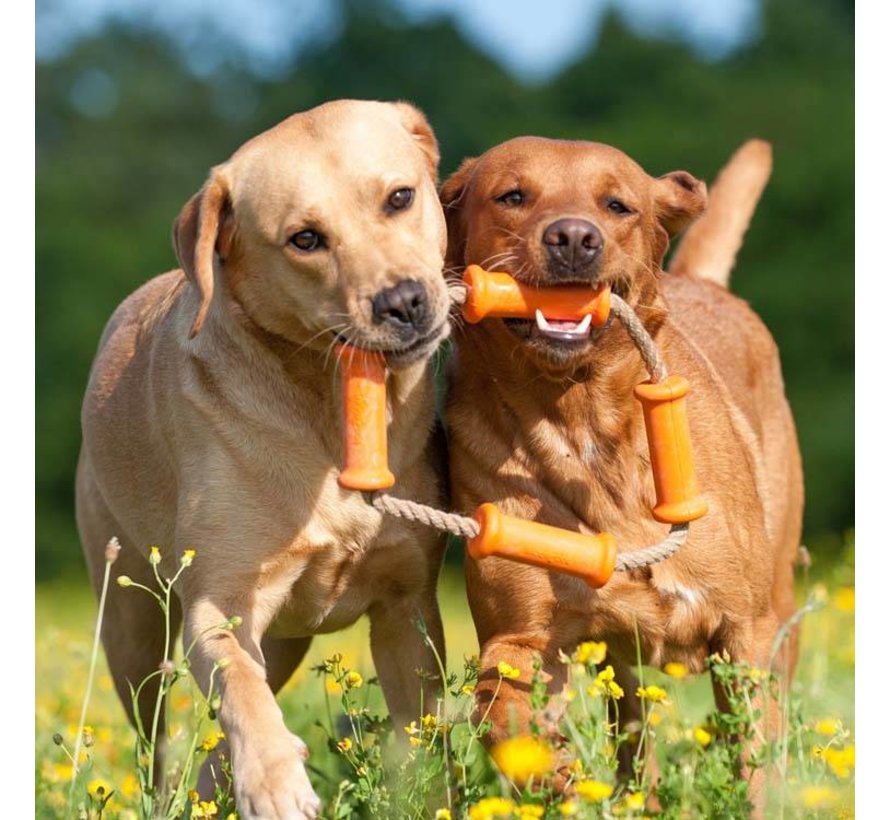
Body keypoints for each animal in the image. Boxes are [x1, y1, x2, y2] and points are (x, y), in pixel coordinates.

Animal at [74, 99, 450, 816]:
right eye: (305, 239)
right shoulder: (218, 601)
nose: (404, 302)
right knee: (160, 735)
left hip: (286, 640)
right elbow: (239, 686)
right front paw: (275, 782)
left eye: (400, 197)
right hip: (132, 626)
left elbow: (419, 733)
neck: (325, 414)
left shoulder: (406, 607)